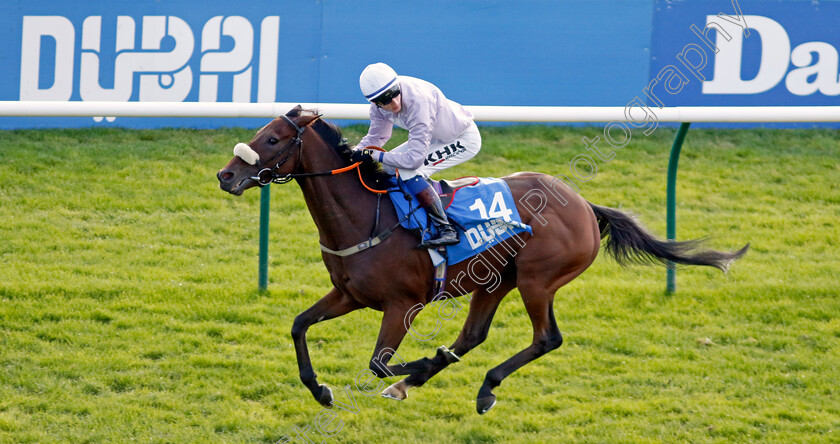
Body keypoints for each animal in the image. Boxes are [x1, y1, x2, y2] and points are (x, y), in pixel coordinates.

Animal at [217, 106, 748, 414]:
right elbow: (299, 326)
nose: (226, 175)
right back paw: (432, 377)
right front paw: (321, 389)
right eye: (259, 132)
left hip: (537, 280)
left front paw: (416, 364)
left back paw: (480, 387)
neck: (366, 215)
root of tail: (583, 203)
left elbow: (377, 364)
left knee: (547, 338)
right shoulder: (349, 294)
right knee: (473, 335)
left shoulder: (403, 305)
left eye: (271, 140)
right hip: (495, 281)